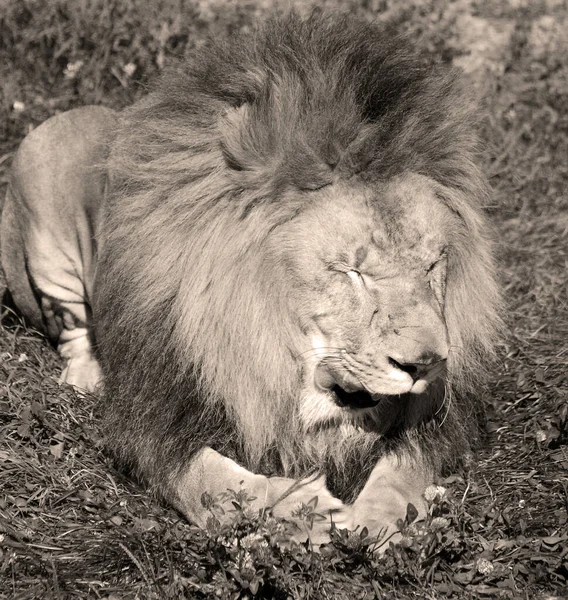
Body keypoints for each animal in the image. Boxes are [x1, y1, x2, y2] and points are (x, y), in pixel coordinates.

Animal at [0, 11, 502, 548]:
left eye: (431, 266)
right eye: (352, 272)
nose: (425, 364)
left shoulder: (433, 419)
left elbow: (405, 469)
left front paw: (383, 520)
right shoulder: (151, 419)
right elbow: (214, 481)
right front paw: (303, 512)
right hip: (43, 206)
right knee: (71, 328)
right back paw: (87, 376)